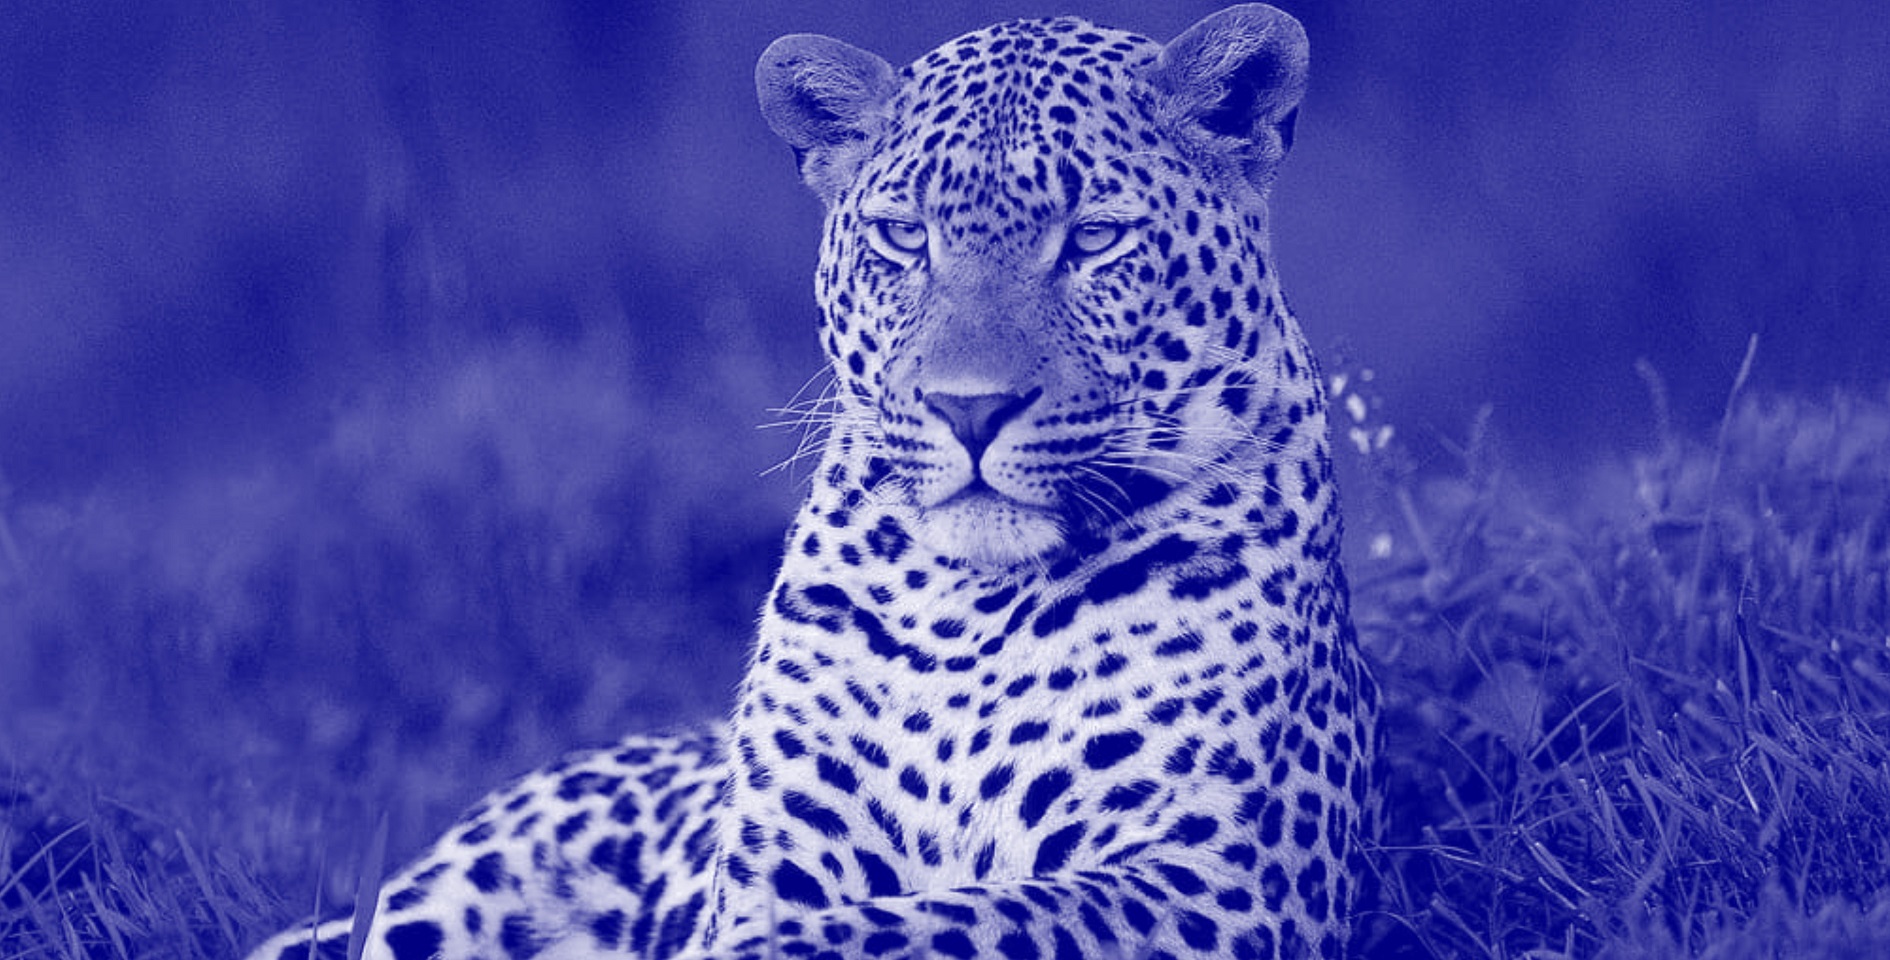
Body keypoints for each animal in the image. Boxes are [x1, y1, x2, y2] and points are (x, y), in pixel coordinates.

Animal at [245, 5, 1378, 959]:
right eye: (903, 238)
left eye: (1095, 239)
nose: (970, 409)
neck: (971, 609)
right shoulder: (777, 860)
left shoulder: (1214, 883)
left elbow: (936, 921)